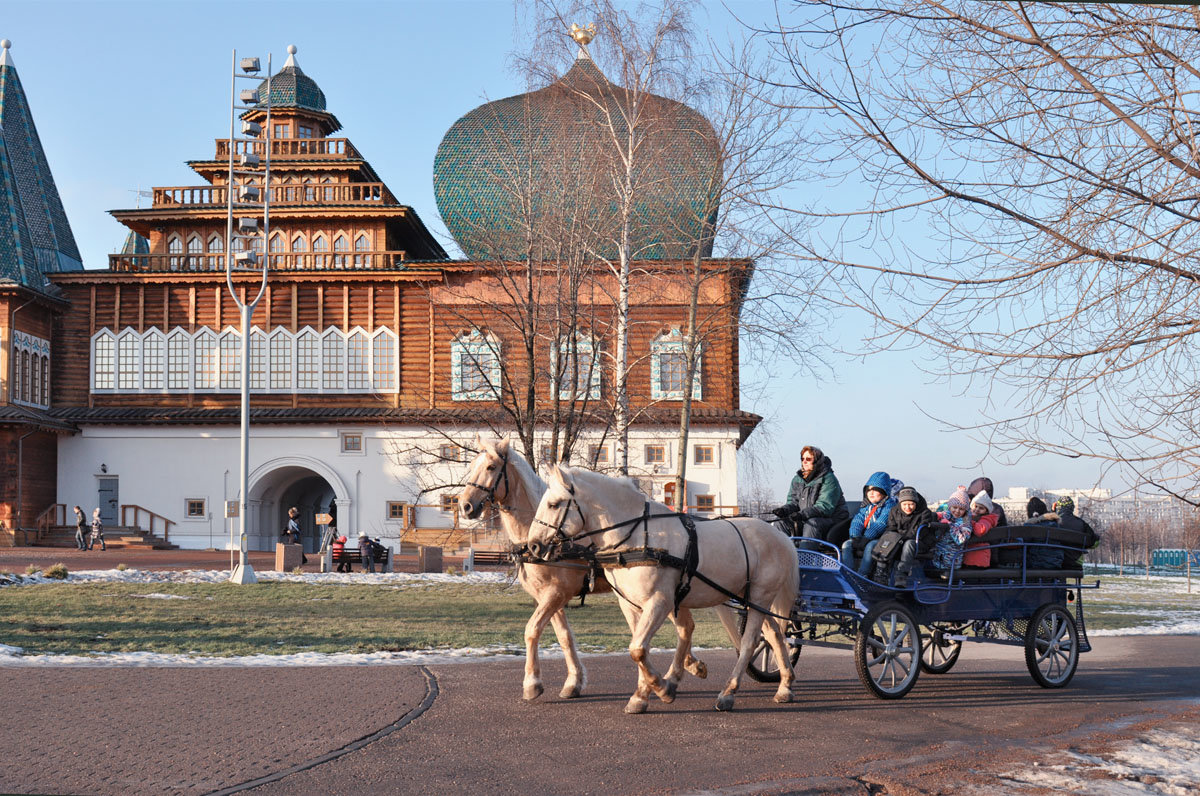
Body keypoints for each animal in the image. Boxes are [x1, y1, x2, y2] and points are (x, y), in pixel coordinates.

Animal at [453, 439, 705, 705]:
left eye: (491, 467)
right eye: (471, 465)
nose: (466, 506)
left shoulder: (556, 594)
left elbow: (532, 630)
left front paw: (532, 683)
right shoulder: (548, 597)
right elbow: (564, 637)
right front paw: (573, 682)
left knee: (683, 626)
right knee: (685, 626)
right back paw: (688, 666)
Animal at [528, 463, 796, 710]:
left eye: (554, 504)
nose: (532, 546)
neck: (638, 538)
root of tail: (780, 536)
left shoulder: (660, 601)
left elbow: (638, 648)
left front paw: (661, 688)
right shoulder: (630, 604)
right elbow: (640, 647)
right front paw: (642, 694)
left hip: (760, 597)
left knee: (750, 642)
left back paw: (728, 692)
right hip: (751, 598)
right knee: (774, 634)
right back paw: (785, 685)